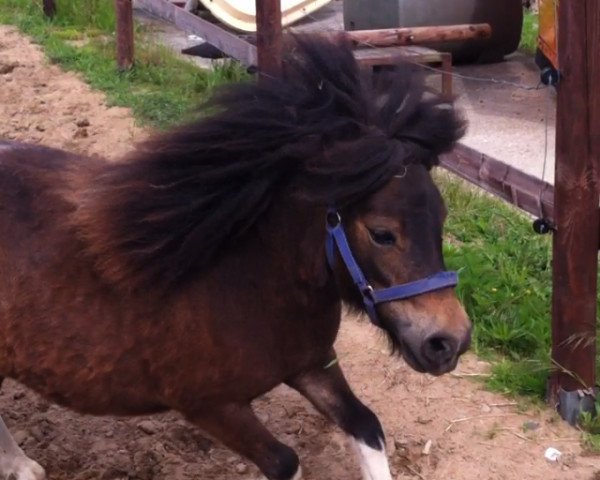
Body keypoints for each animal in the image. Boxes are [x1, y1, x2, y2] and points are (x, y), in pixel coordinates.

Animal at [0, 37, 468, 480]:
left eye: (442, 219)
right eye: (382, 233)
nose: (450, 342)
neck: (245, 281)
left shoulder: (312, 363)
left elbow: (367, 425)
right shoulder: (210, 407)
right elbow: (285, 462)